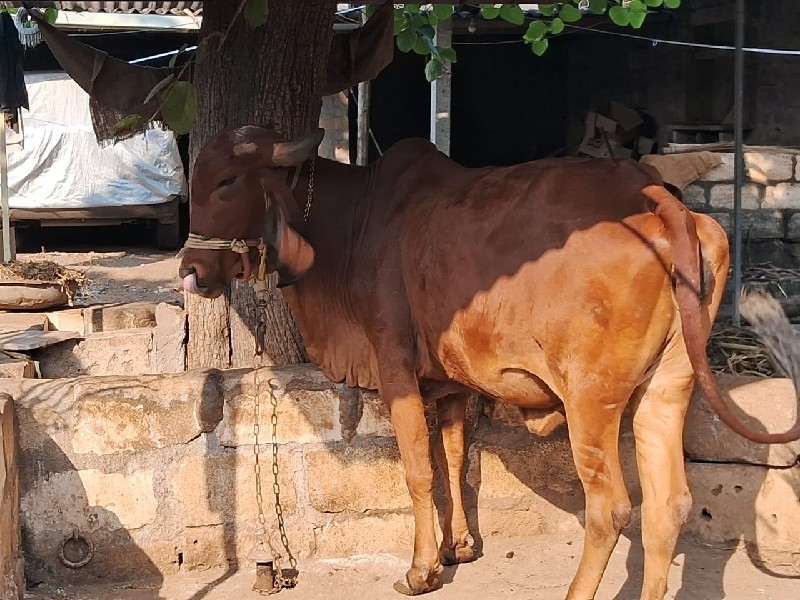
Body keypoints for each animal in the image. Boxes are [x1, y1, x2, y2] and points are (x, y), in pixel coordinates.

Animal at [181, 124, 800, 596]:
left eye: (228, 181)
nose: (190, 270)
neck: (357, 222)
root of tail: (660, 200)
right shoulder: (452, 382)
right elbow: (454, 458)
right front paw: (457, 547)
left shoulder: (394, 366)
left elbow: (419, 469)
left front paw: (421, 569)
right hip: (667, 387)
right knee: (668, 505)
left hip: (591, 399)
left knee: (610, 508)